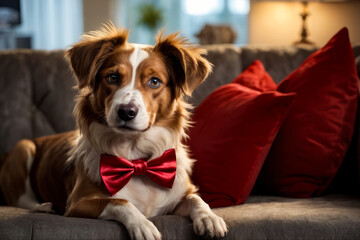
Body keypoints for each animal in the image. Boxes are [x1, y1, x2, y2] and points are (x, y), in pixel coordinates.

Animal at [0, 23, 228, 240]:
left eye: (154, 81)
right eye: (112, 77)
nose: (126, 111)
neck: (137, 160)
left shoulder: (178, 195)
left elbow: (196, 199)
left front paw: (209, 217)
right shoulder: (77, 203)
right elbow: (121, 202)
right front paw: (143, 225)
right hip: (24, 148)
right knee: (22, 200)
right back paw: (44, 207)